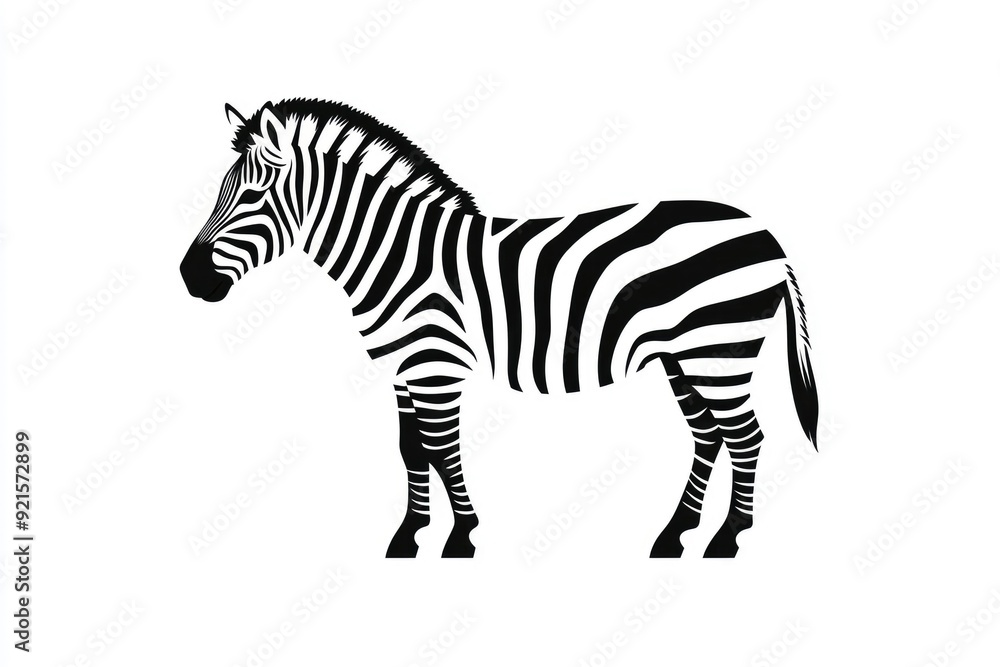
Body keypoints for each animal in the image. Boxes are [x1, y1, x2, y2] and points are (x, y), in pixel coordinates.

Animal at [180, 99, 819, 559]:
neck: (399, 257)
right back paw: (673, 536)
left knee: (747, 437)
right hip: (682, 358)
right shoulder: (403, 370)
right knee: (709, 436)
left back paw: (726, 540)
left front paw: (461, 538)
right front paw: (408, 538)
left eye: (255, 193)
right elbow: (411, 449)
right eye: (220, 190)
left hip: (719, 351)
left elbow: (442, 448)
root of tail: (765, 233)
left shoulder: (436, 366)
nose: (189, 276)